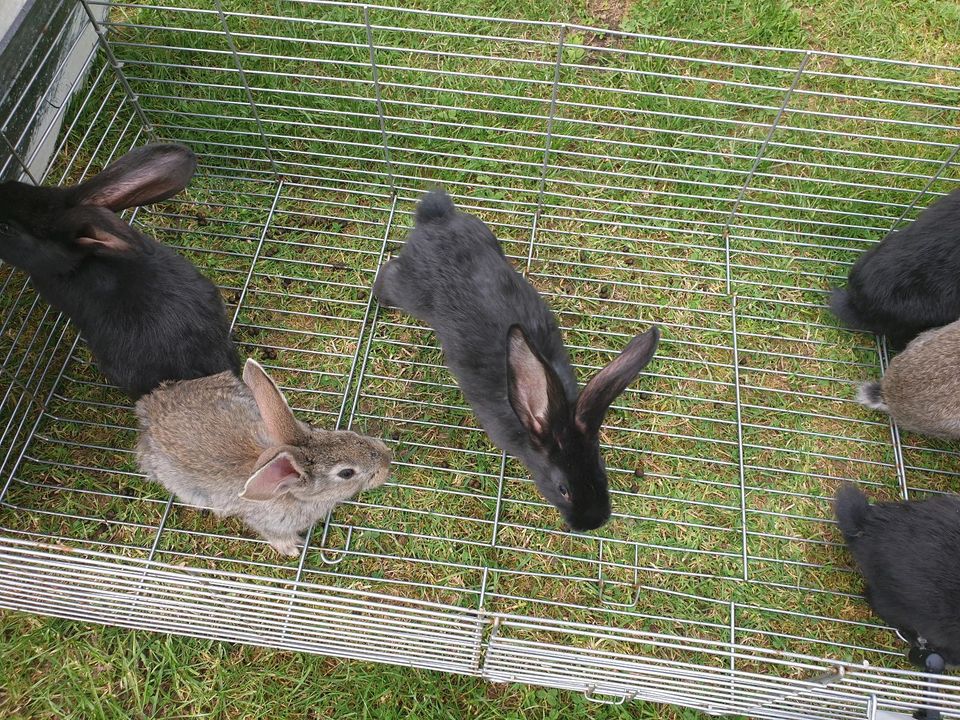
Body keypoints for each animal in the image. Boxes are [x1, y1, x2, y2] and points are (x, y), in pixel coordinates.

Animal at [374, 188, 660, 532]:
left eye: (601, 472)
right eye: (563, 489)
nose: (593, 523)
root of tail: (435, 218)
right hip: (409, 291)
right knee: (389, 276)